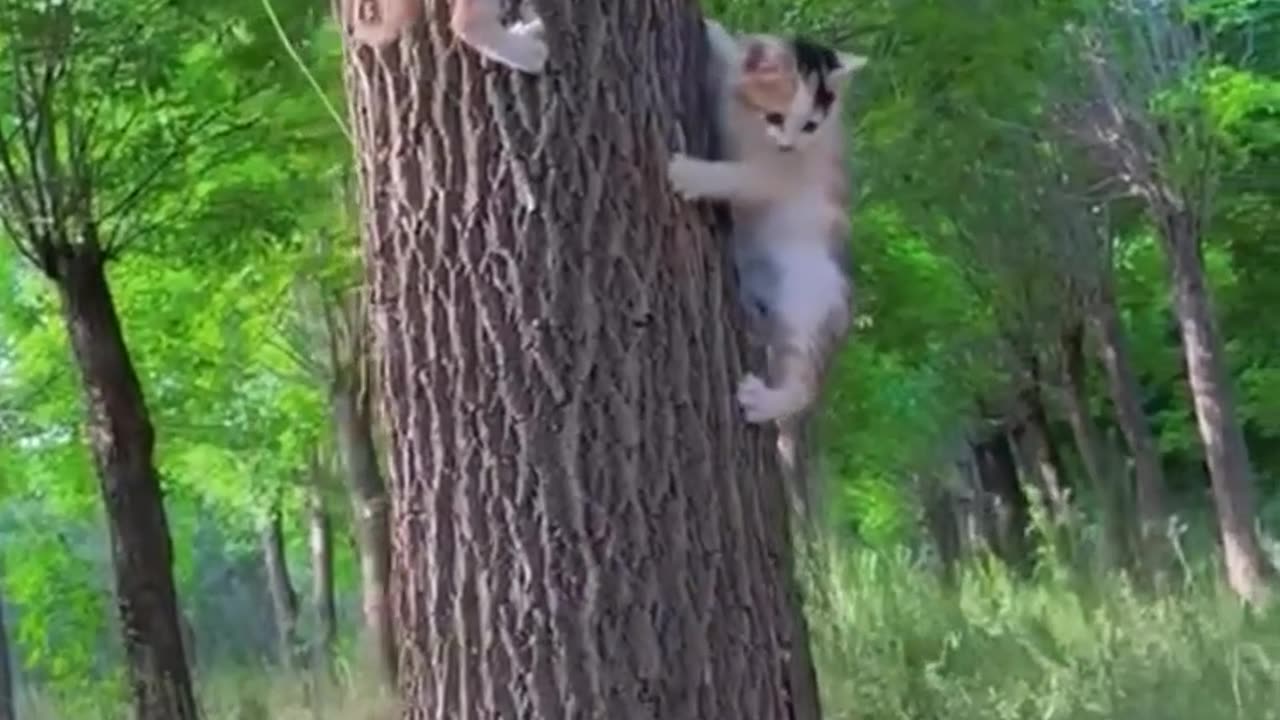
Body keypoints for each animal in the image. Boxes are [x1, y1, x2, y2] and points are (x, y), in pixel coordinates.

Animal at [665, 20, 865, 425]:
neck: (746, 120)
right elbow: (729, 55)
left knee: (803, 378)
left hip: (807, 297)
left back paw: (768, 402)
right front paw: (716, 31)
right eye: (775, 117)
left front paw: (691, 174)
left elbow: (738, 176)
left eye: (809, 126)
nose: (788, 145)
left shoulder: (781, 173)